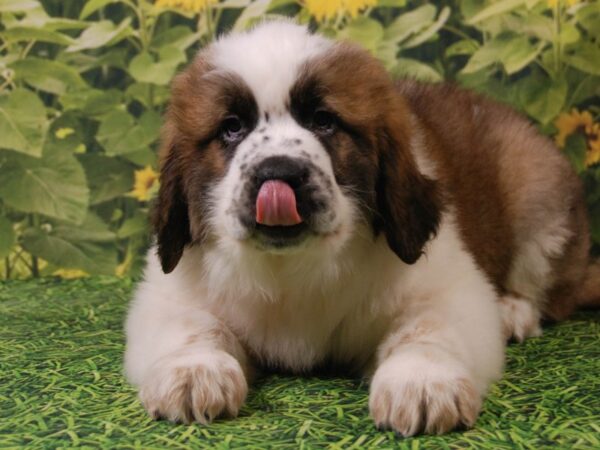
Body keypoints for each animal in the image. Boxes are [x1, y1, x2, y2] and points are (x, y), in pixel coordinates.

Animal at [124, 19, 596, 434]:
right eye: (231, 127)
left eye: (324, 120)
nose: (279, 173)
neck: (293, 268)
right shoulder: (170, 288)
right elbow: (190, 323)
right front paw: (193, 370)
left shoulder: (449, 286)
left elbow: (428, 327)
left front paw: (421, 381)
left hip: (536, 185)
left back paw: (514, 310)